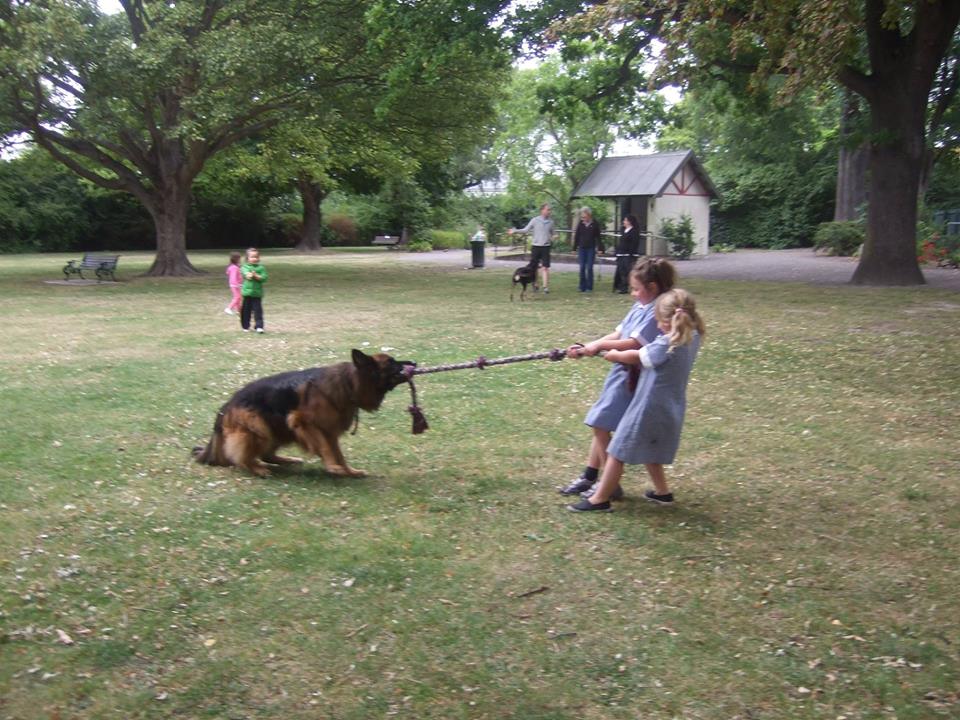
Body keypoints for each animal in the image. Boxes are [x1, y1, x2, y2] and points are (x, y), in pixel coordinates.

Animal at [194, 350, 412, 478]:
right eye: (392, 363)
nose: (414, 362)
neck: (349, 383)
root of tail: (225, 407)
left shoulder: (330, 432)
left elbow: (338, 454)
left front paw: (349, 471)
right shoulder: (304, 423)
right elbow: (325, 448)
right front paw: (333, 467)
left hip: (278, 430)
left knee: (267, 454)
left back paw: (288, 461)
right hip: (260, 426)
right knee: (242, 457)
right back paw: (257, 468)